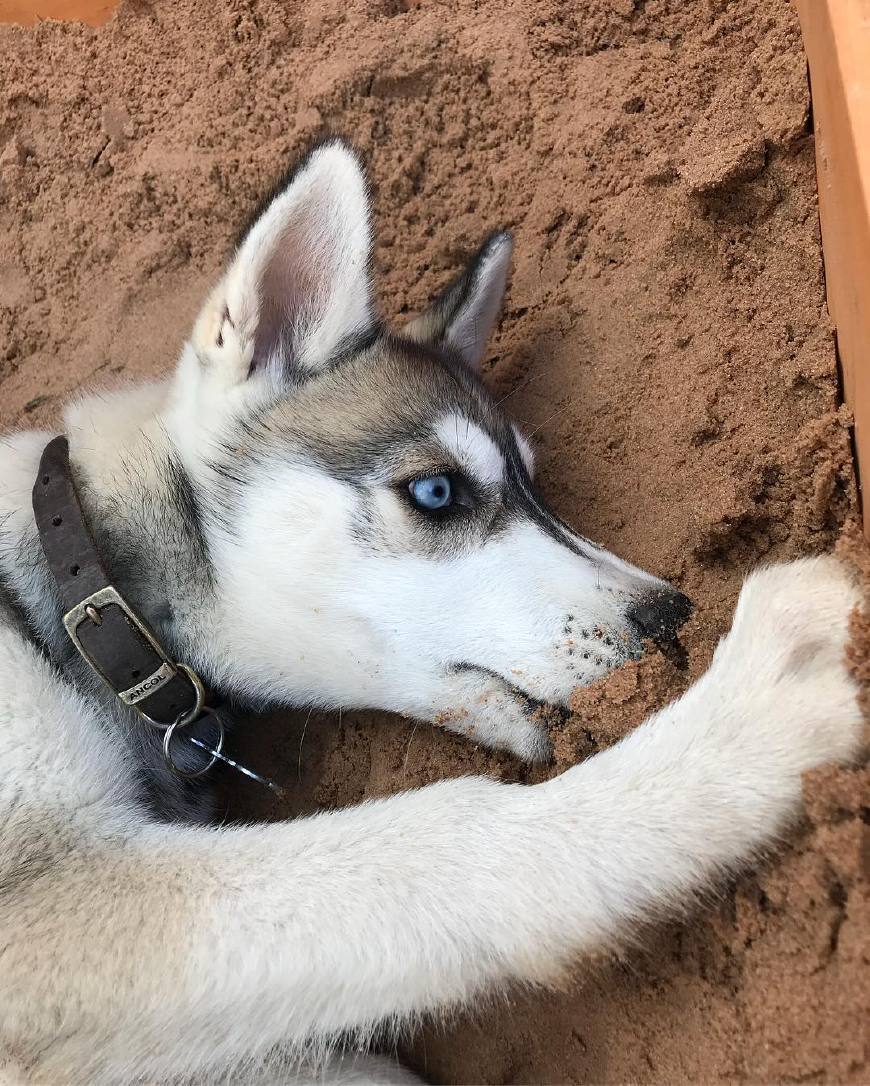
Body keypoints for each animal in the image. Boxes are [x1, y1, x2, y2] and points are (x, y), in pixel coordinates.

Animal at [0, 140, 860, 1081]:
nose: (674, 620)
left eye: (537, 486)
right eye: (438, 491)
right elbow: (456, 835)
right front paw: (754, 708)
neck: (84, 584)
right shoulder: (57, 906)